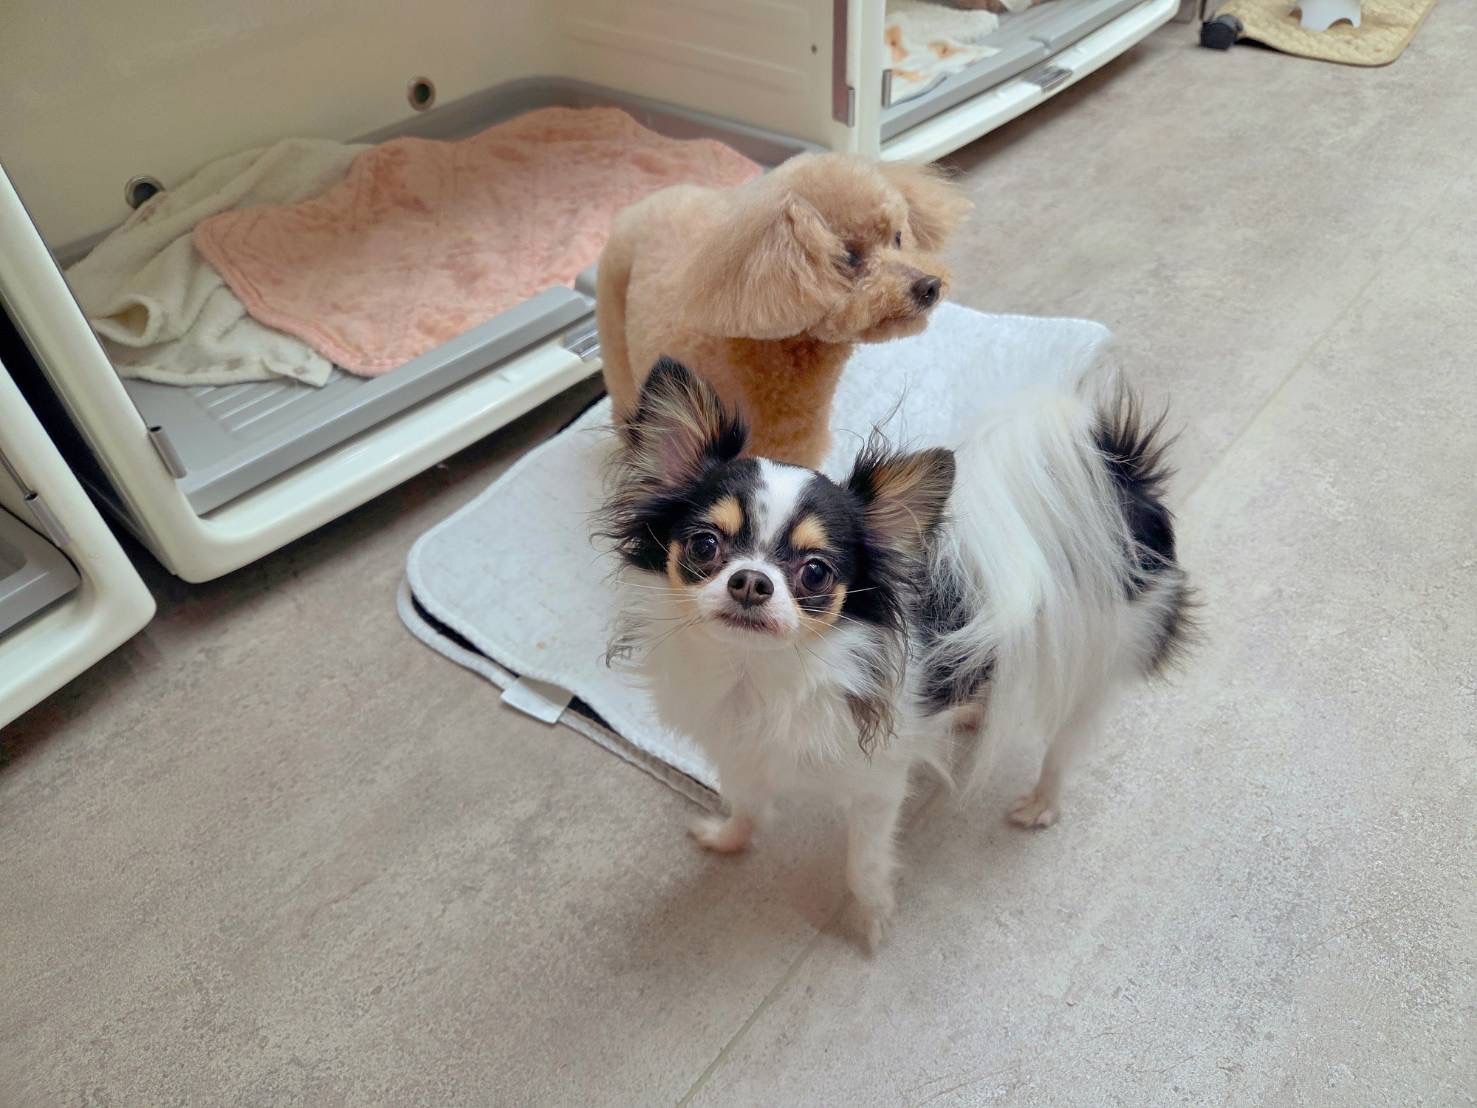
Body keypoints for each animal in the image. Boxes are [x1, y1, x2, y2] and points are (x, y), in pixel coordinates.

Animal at [598, 358, 1194, 947]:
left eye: (815, 572)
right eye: (705, 545)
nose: (751, 581)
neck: (759, 672)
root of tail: (1118, 472)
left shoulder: (876, 789)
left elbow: (862, 864)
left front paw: (872, 921)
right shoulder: (739, 751)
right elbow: (744, 802)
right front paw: (728, 839)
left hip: (1101, 659)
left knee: (1064, 746)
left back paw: (1042, 802)